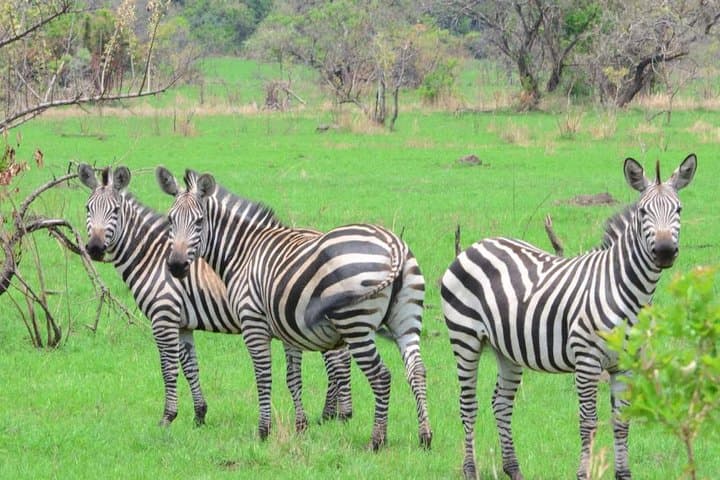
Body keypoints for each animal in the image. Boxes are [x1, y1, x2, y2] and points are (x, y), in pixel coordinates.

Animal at [78, 164, 352, 431]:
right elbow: (190, 368)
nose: (95, 249)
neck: (151, 256)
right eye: (87, 208)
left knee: (337, 360)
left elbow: (168, 369)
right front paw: (199, 415)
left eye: (115, 211)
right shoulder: (183, 325)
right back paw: (331, 415)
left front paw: (167, 418)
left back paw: (335, 416)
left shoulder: (164, 317)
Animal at [155, 166, 432, 450]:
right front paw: (301, 427)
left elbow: (263, 376)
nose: (175, 266)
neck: (244, 252)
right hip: (406, 321)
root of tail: (393, 244)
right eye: (170, 220)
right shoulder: (289, 330)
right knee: (417, 371)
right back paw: (424, 437)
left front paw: (263, 431)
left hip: (355, 324)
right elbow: (293, 378)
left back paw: (377, 441)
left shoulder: (253, 324)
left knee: (381, 376)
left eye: (199, 221)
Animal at [440, 154, 697, 480]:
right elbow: (588, 422)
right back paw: (470, 469)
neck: (625, 291)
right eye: (642, 212)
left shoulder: (626, 364)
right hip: (465, 339)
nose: (664, 251)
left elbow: (621, 422)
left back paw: (514, 469)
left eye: (679, 209)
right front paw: (583, 473)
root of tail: (475, 245)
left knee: (501, 403)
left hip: (506, 348)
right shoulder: (586, 361)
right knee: (468, 404)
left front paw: (623, 474)